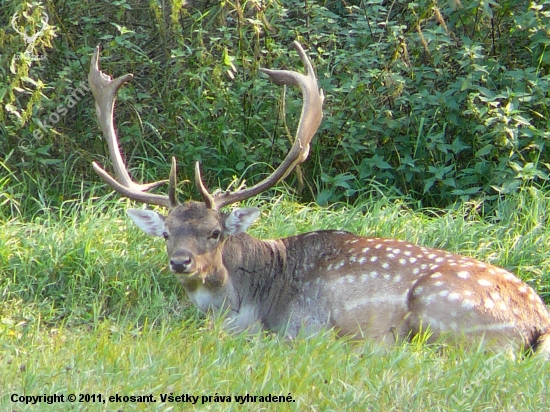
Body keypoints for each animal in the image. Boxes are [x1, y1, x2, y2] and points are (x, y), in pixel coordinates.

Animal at [88, 42, 550, 358]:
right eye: (166, 233)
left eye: (215, 232)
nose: (180, 262)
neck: (252, 301)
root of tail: (538, 325)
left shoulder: (305, 326)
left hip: (441, 311)